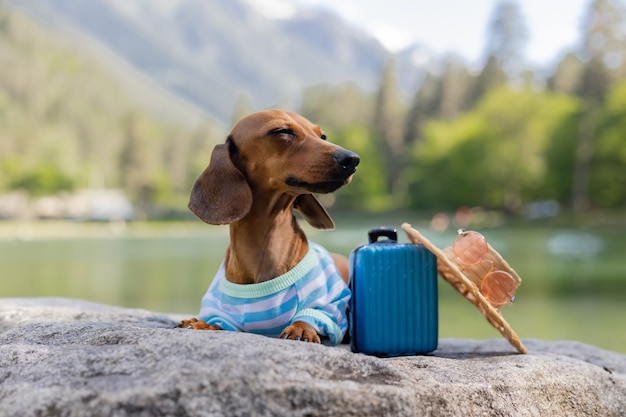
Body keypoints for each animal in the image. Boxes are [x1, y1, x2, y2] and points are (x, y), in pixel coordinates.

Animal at [178, 108, 358, 344]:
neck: (264, 247)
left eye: (323, 136)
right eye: (282, 131)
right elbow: (217, 320)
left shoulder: (328, 304)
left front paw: (302, 329)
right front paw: (203, 324)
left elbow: (311, 314)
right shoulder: (221, 309)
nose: (352, 159)